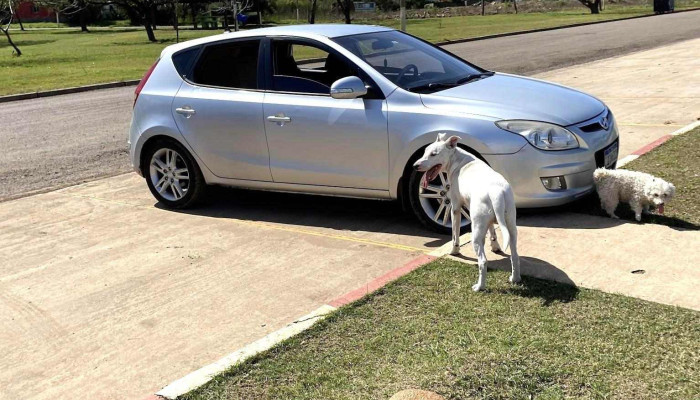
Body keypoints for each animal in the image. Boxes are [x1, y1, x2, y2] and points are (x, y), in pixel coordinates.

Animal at [410, 133, 520, 292]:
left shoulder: (455, 208)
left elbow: (455, 235)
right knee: (515, 256)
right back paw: (515, 279)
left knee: (483, 261)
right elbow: (492, 231)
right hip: (510, 226)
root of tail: (496, 192)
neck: (458, 160)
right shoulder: (490, 221)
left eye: (434, 154)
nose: (415, 166)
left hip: (476, 232)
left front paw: (454, 251)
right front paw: (495, 247)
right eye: (425, 152)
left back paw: (479, 286)